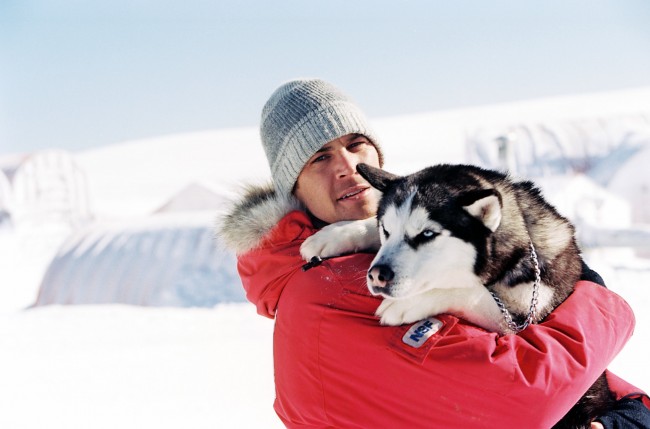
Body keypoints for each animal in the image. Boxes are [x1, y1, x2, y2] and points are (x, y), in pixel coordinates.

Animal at [300, 162, 612, 426]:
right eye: (386, 230)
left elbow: (467, 289)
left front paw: (410, 302)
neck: (521, 243)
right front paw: (335, 234)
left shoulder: (521, 317)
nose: (377, 275)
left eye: (427, 234)